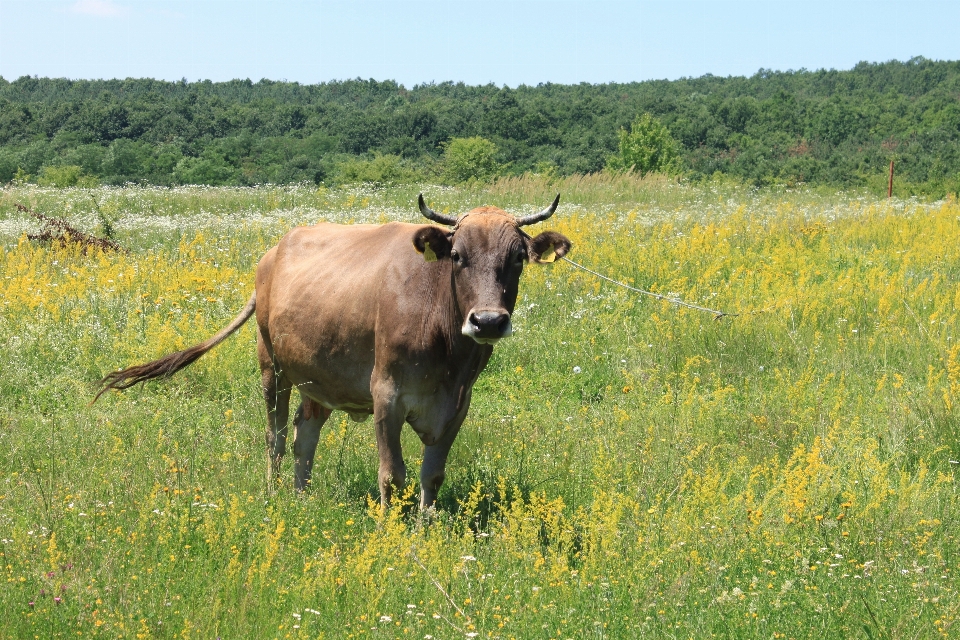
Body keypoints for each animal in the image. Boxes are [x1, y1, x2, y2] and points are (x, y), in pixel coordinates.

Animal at [95, 192, 568, 508]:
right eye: (457, 257)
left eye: (518, 259)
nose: (487, 321)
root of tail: (272, 253)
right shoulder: (387, 394)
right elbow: (392, 476)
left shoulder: (457, 404)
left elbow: (432, 475)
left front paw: (424, 532)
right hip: (271, 368)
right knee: (275, 436)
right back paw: (274, 493)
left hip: (316, 377)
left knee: (305, 435)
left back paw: (301, 497)